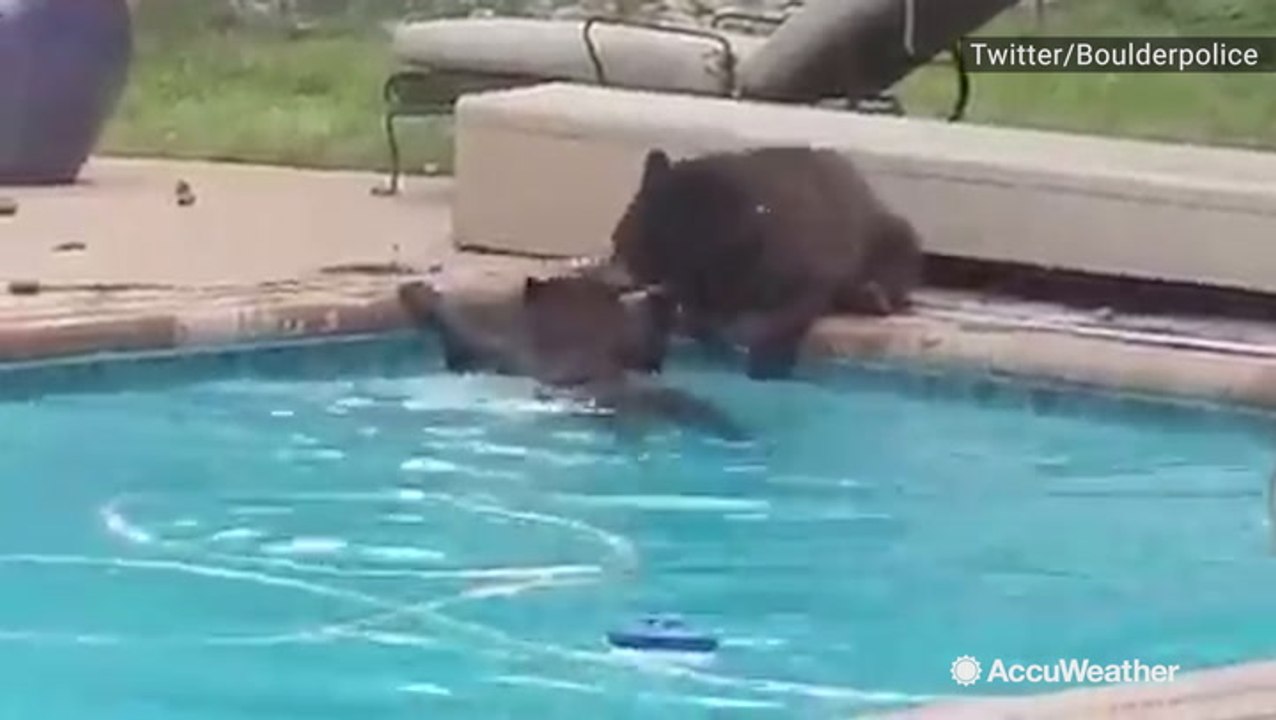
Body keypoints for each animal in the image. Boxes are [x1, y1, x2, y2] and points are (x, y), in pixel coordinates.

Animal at [601, 145, 924, 380]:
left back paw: (872, 293)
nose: (618, 275)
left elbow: (782, 317)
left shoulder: (809, 275)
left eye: (644, 245)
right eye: (621, 240)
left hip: (889, 230)